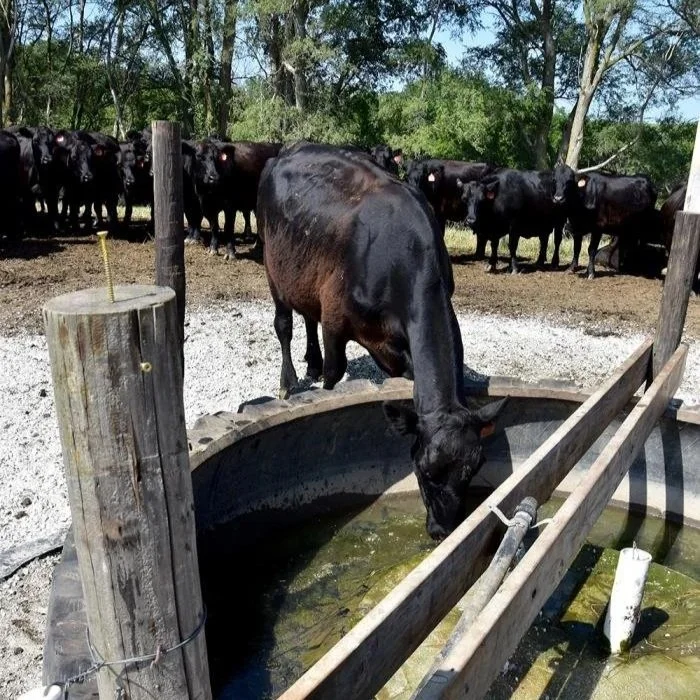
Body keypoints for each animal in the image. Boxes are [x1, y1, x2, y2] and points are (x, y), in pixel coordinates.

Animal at [257, 142, 508, 540]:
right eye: (424, 469)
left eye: (473, 469)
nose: (442, 530)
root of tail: (290, 149)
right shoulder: (335, 320)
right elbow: (334, 374)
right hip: (273, 260)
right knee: (284, 323)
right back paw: (289, 381)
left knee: (307, 315)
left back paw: (310, 363)